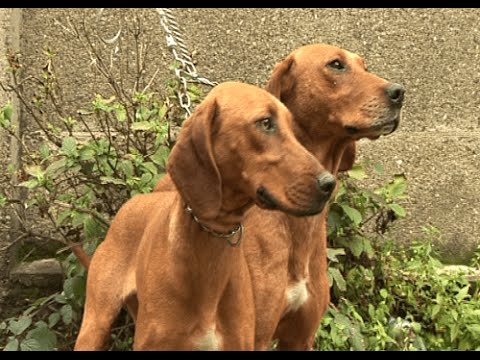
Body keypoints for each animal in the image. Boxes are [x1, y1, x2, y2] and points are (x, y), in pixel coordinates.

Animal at [154, 43, 404, 348]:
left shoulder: (301, 337)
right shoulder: (258, 335)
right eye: (336, 64)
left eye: (365, 66)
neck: (296, 224)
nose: (399, 92)